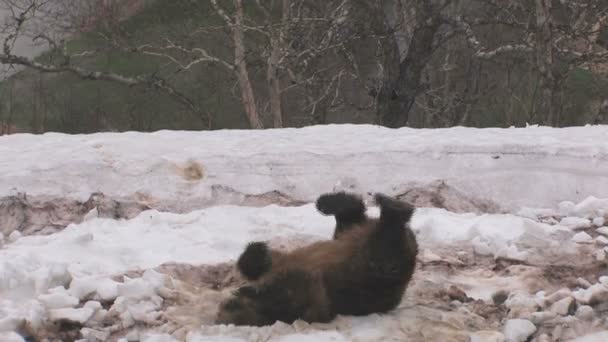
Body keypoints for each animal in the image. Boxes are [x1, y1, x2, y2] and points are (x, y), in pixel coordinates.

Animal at [216, 191, 420, 328]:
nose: (230, 302)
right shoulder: (308, 298)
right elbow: (295, 296)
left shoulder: (285, 269)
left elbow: (259, 263)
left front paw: (257, 252)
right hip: (373, 272)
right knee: (381, 242)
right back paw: (391, 207)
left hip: (363, 258)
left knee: (354, 223)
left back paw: (333, 202)